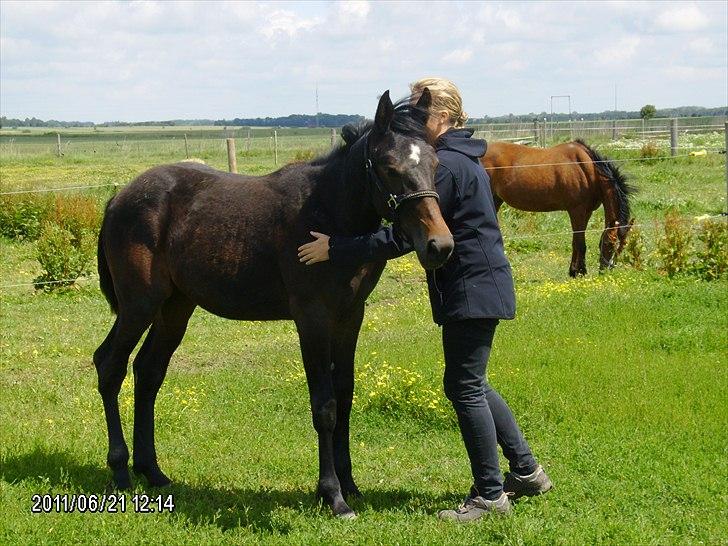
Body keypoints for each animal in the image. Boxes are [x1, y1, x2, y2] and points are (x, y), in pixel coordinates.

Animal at [94, 89, 452, 516]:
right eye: (389, 167)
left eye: (434, 163)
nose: (439, 245)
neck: (328, 217)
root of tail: (119, 197)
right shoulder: (312, 318)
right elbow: (325, 406)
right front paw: (332, 495)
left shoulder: (350, 317)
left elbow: (345, 397)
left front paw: (349, 484)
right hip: (139, 305)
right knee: (110, 365)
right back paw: (120, 473)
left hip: (175, 307)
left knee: (148, 372)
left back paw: (153, 471)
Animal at [480, 140, 636, 276]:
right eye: (610, 244)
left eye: (623, 245)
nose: (606, 270)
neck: (587, 169)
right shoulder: (576, 211)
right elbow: (580, 243)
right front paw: (580, 271)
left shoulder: (587, 212)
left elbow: (576, 241)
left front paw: (574, 271)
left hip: (496, 200)